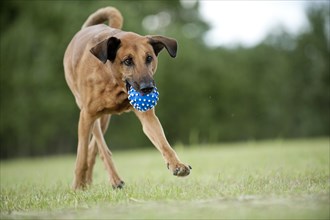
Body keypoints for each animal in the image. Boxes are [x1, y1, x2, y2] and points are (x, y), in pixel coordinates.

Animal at [63, 6, 191, 189]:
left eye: (149, 58)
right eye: (128, 61)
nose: (147, 88)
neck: (114, 82)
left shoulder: (147, 116)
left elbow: (163, 142)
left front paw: (176, 165)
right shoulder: (86, 115)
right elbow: (81, 155)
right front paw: (77, 185)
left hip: (104, 119)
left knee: (95, 147)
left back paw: (99, 180)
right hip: (87, 111)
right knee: (99, 145)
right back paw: (104, 180)